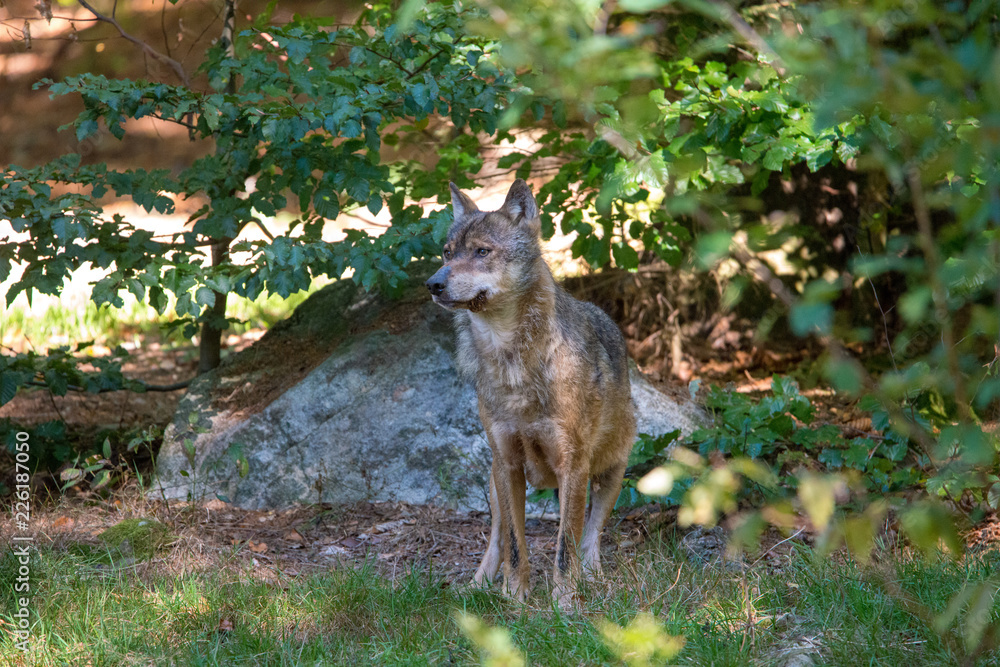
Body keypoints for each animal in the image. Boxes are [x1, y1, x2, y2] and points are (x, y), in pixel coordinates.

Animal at [425, 179, 636, 606]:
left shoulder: (573, 465)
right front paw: (514, 597)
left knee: (590, 537)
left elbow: (564, 547)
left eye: (482, 251)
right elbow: (515, 544)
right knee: (496, 539)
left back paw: (593, 581)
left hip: (610, 471)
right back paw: (476, 588)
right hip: (493, 481)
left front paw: (564, 602)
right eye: (447, 253)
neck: (512, 362)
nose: (433, 284)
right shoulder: (507, 464)